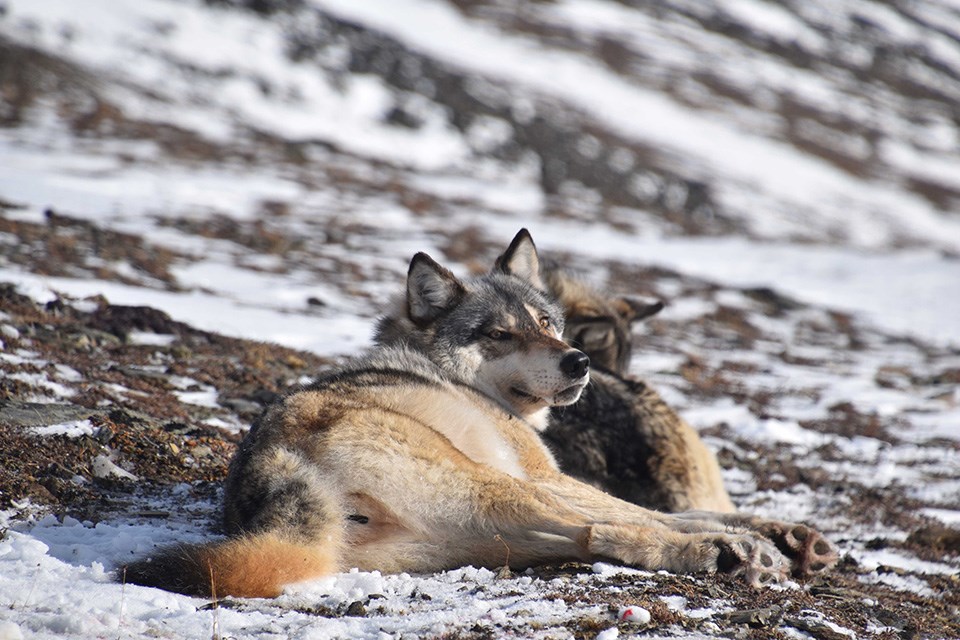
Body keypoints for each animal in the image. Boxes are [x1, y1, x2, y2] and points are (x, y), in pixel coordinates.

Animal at [124, 231, 836, 600]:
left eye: (546, 322)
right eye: (498, 334)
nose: (579, 362)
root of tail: (267, 477)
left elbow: (681, 509)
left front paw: (786, 533)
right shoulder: (547, 473)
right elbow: (655, 514)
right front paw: (754, 539)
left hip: (490, 532)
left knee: (588, 536)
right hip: (506, 489)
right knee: (612, 530)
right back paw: (726, 556)